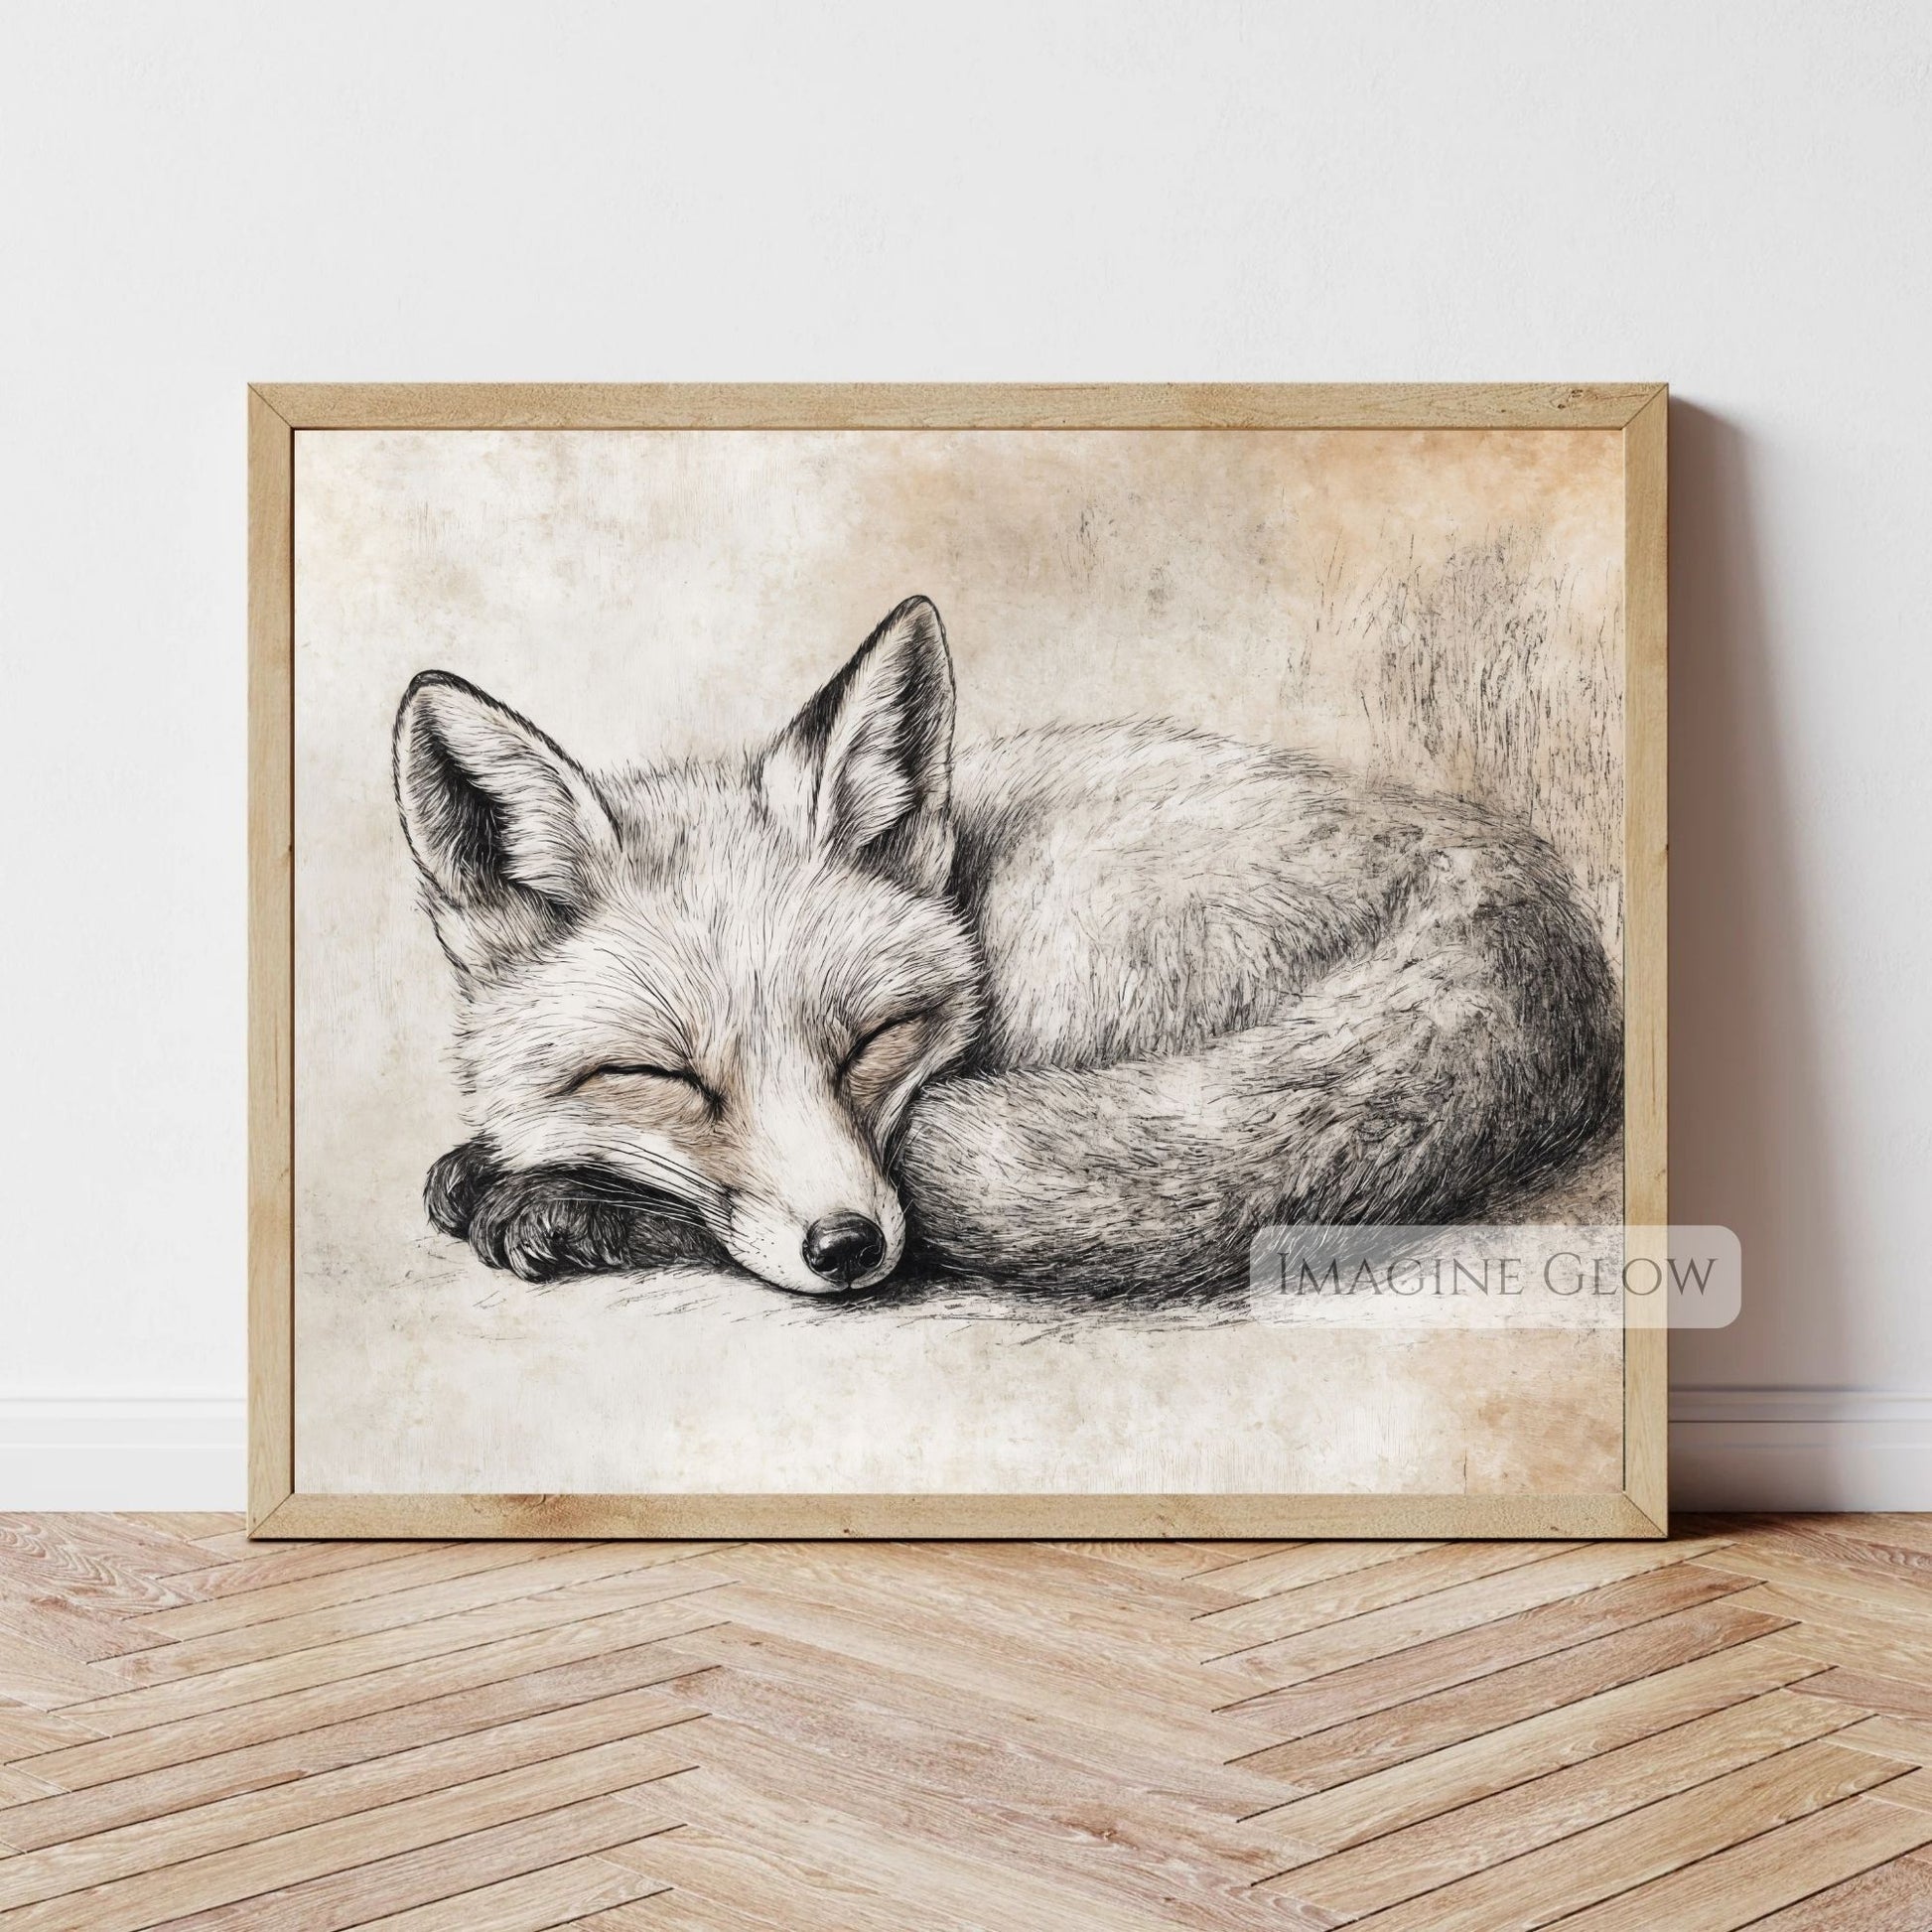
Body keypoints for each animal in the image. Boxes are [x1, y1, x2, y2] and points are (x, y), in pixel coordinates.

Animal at [394, 595, 1622, 1302]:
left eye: (872, 1041)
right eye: (662, 1076)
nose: (847, 1245)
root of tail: (1486, 860)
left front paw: (557, 1193)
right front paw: (500, 1159)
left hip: (1072, 932)